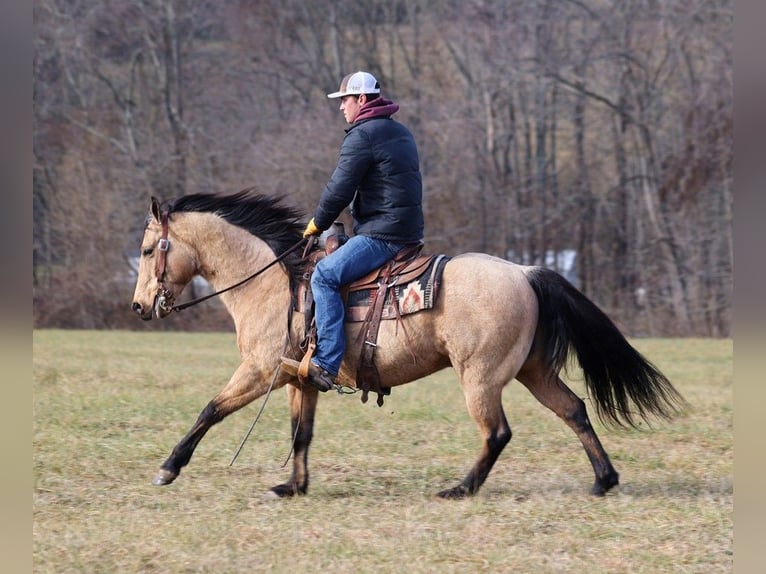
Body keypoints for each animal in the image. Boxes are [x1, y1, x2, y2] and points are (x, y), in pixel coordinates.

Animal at [129, 189, 688, 500]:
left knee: (497, 433)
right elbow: (300, 435)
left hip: (480, 378)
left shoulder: (259, 371)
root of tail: (525, 271)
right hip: (532, 371)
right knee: (573, 410)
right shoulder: (296, 379)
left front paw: (168, 468)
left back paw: (460, 489)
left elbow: (210, 410)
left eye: (147, 249)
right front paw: (293, 486)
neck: (272, 285)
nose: (138, 306)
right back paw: (603, 479)